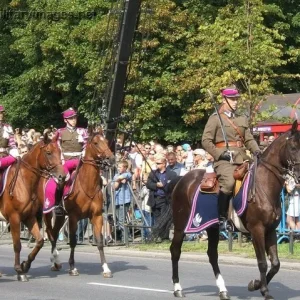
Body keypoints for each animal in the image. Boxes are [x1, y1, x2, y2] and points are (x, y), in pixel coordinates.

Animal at [0, 132, 65, 282]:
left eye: (60, 152)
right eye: (48, 152)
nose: (62, 177)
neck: (24, 182)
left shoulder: (29, 217)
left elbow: (40, 241)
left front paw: (26, 265)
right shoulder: (14, 218)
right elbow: (17, 245)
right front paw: (19, 270)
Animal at [39, 126, 114, 276]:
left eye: (106, 141)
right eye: (96, 143)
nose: (111, 158)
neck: (87, 186)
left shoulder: (96, 216)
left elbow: (99, 242)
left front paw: (105, 268)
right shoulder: (73, 217)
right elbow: (73, 241)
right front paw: (73, 267)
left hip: (61, 216)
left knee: (54, 233)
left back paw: (56, 262)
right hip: (47, 214)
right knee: (50, 234)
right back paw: (54, 260)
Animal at [166, 120, 300, 298]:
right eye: (293, 147)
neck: (264, 185)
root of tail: (181, 179)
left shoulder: (270, 230)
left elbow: (276, 264)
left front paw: (255, 284)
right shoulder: (257, 230)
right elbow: (263, 262)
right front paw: (264, 290)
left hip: (212, 227)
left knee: (212, 255)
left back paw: (223, 290)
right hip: (181, 225)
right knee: (175, 251)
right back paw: (177, 288)